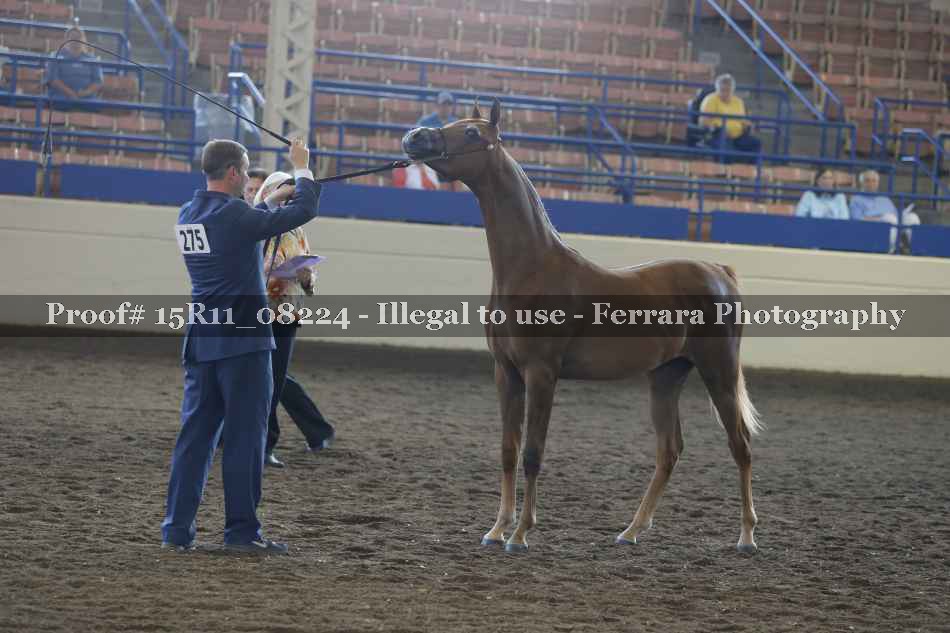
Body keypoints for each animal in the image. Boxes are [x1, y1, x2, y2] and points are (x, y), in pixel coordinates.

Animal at [401, 99, 762, 554]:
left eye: (471, 133)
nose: (414, 137)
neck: (532, 269)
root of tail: (719, 271)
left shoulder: (541, 374)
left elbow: (533, 452)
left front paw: (521, 534)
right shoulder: (506, 373)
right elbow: (508, 450)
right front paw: (497, 529)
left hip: (719, 371)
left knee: (740, 446)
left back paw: (746, 536)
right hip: (666, 376)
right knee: (670, 449)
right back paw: (631, 531)